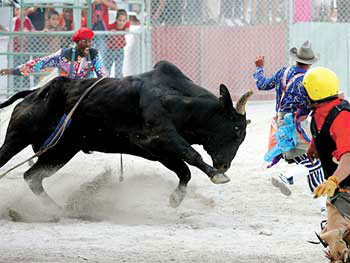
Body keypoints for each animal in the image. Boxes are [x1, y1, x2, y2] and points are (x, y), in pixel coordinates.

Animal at [0, 60, 252, 209]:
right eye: (236, 129)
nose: (224, 165)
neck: (178, 101)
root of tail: (35, 92)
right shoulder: (162, 135)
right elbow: (191, 155)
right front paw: (217, 175)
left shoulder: (158, 150)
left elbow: (185, 171)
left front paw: (175, 199)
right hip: (17, 137)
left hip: (60, 151)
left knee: (32, 177)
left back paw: (57, 210)